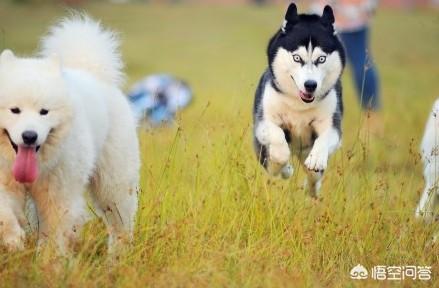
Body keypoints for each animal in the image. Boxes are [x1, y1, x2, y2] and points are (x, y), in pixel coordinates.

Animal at [0, 16, 139, 253]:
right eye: (14, 110)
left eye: (44, 112)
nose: (29, 136)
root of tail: (92, 72)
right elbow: (4, 212)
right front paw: (13, 239)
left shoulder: (59, 197)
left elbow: (55, 236)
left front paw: (50, 261)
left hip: (113, 184)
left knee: (120, 224)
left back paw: (118, 257)